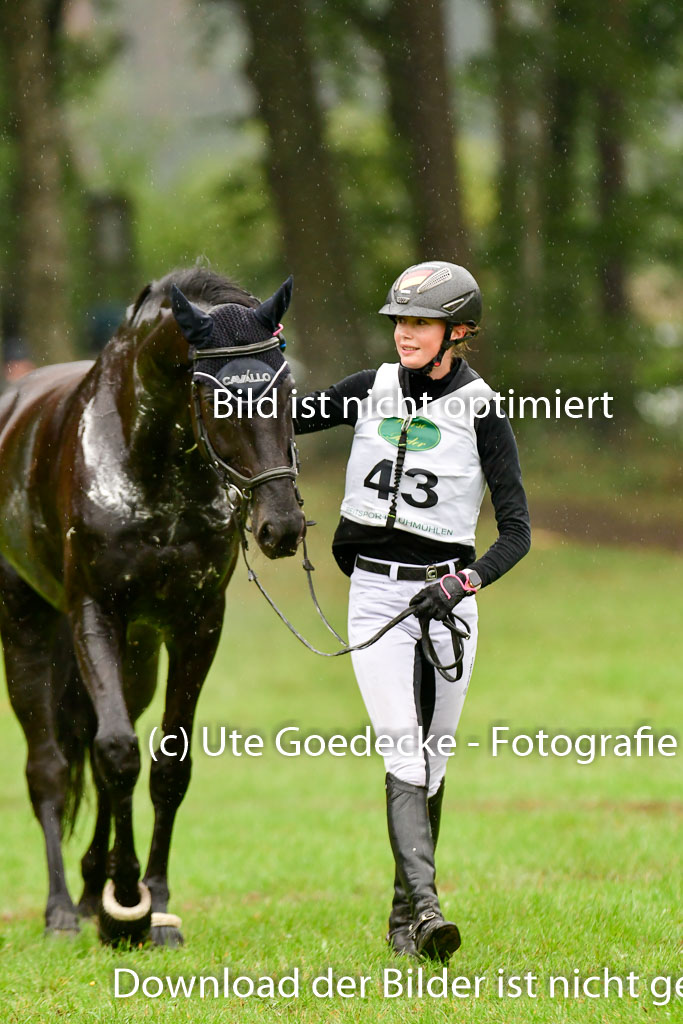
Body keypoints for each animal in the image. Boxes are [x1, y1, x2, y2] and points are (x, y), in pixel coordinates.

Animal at [0, 267, 306, 946]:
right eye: (218, 399)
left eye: (288, 389)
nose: (281, 527)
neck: (150, 465)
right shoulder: (95, 614)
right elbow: (117, 754)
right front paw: (126, 904)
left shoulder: (196, 625)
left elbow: (167, 766)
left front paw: (151, 902)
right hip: (28, 628)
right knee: (51, 765)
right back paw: (64, 909)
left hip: (137, 654)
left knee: (94, 745)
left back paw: (94, 891)